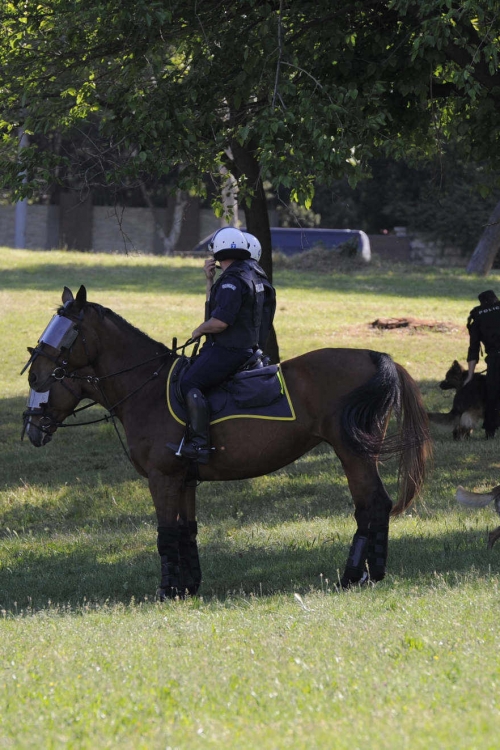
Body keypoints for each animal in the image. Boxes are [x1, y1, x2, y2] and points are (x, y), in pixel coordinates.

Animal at [23, 285, 431, 599]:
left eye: (66, 333)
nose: (34, 377)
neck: (148, 388)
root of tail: (376, 357)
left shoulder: (162, 478)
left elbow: (165, 534)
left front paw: (166, 590)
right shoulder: (184, 480)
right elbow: (185, 531)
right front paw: (188, 586)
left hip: (353, 453)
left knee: (372, 505)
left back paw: (355, 575)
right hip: (359, 453)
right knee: (371, 507)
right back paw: (366, 574)